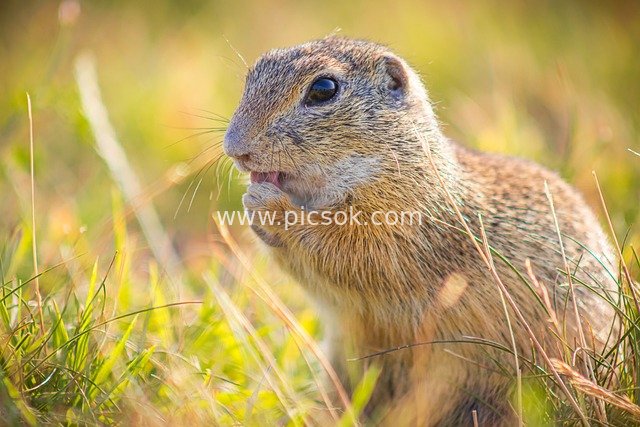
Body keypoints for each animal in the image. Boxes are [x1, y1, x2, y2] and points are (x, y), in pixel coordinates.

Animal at [223, 37, 618, 425]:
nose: (235, 149)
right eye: (252, 74)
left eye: (324, 89)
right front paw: (251, 203)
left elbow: (348, 252)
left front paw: (268, 204)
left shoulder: (401, 231)